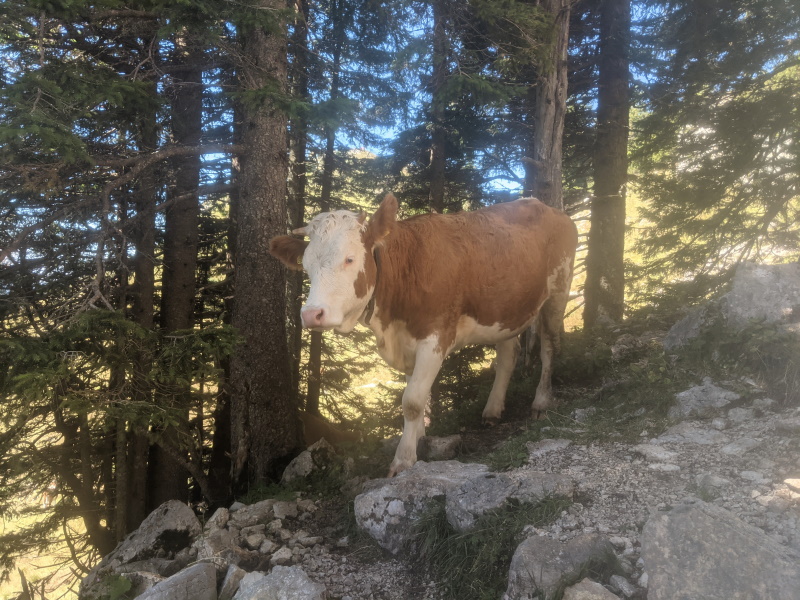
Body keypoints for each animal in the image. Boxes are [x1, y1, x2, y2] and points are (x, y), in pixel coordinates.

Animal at [270, 193, 578, 476]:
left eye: (350, 258)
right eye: (306, 266)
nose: (311, 314)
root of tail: (546, 207)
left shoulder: (435, 338)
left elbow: (413, 401)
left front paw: (404, 459)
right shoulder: (408, 343)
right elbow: (416, 394)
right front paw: (418, 437)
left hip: (558, 291)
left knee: (549, 347)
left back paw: (540, 402)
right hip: (507, 308)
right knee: (507, 356)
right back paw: (492, 410)